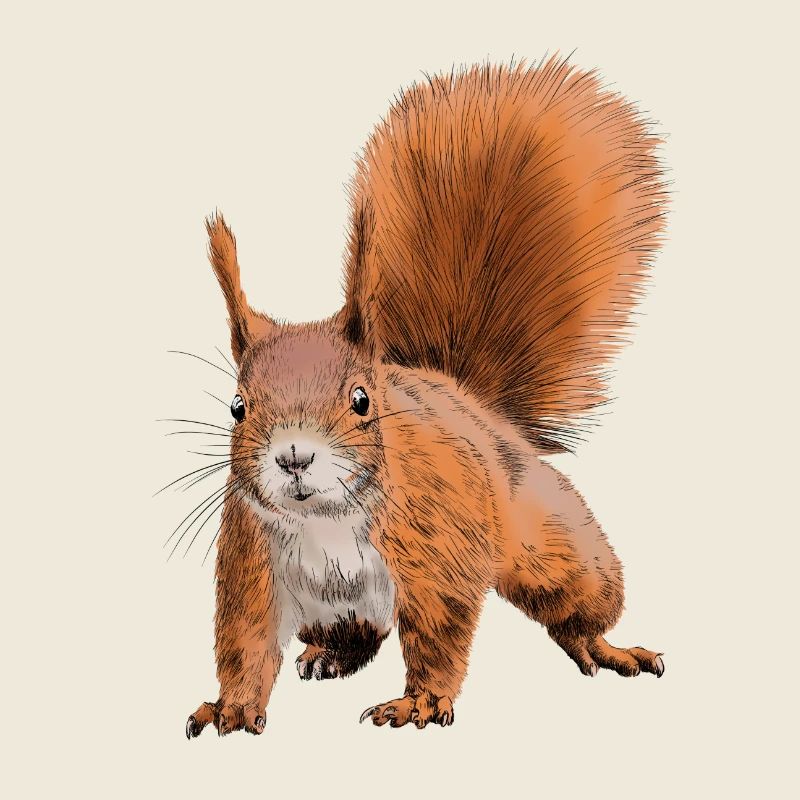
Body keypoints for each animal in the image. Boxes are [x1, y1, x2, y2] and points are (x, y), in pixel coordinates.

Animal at [182, 55, 667, 738]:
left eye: (362, 400)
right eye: (237, 407)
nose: (294, 456)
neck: (325, 520)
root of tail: (466, 396)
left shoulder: (438, 543)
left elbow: (439, 629)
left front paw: (419, 704)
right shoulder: (251, 559)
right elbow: (244, 640)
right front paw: (230, 706)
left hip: (550, 538)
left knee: (575, 598)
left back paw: (605, 645)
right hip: (334, 609)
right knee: (356, 636)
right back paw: (326, 655)